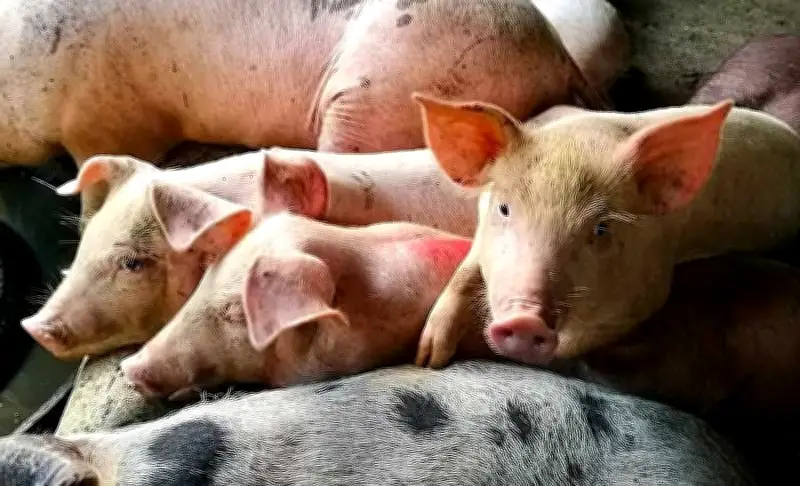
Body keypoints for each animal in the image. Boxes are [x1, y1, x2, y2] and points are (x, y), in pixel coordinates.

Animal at [410, 93, 800, 368]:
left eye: (601, 228)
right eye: (505, 208)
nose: (525, 321)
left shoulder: (648, 294)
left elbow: (577, 343)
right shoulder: (481, 225)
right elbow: (464, 274)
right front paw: (427, 359)